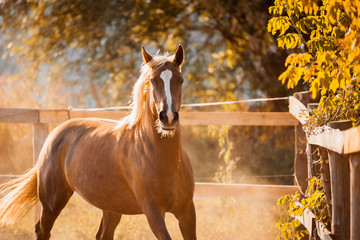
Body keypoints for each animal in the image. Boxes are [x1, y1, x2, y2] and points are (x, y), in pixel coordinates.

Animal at [0, 45, 197, 240]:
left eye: (180, 80)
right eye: (154, 81)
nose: (168, 117)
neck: (165, 160)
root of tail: (57, 132)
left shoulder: (187, 212)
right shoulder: (153, 213)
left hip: (111, 207)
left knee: (102, 235)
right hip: (52, 202)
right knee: (43, 230)